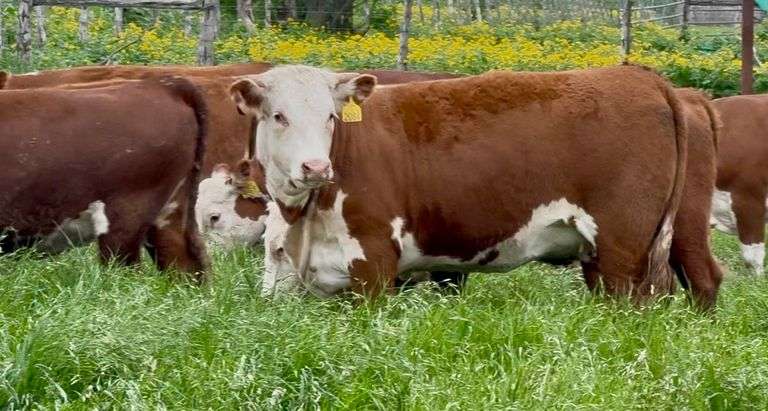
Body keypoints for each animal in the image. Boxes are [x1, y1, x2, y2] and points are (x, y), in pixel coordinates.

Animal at [230, 64, 689, 302]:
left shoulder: (373, 262)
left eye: (330, 115)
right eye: (278, 116)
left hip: (622, 253)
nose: (315, 166)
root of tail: (643, 77)